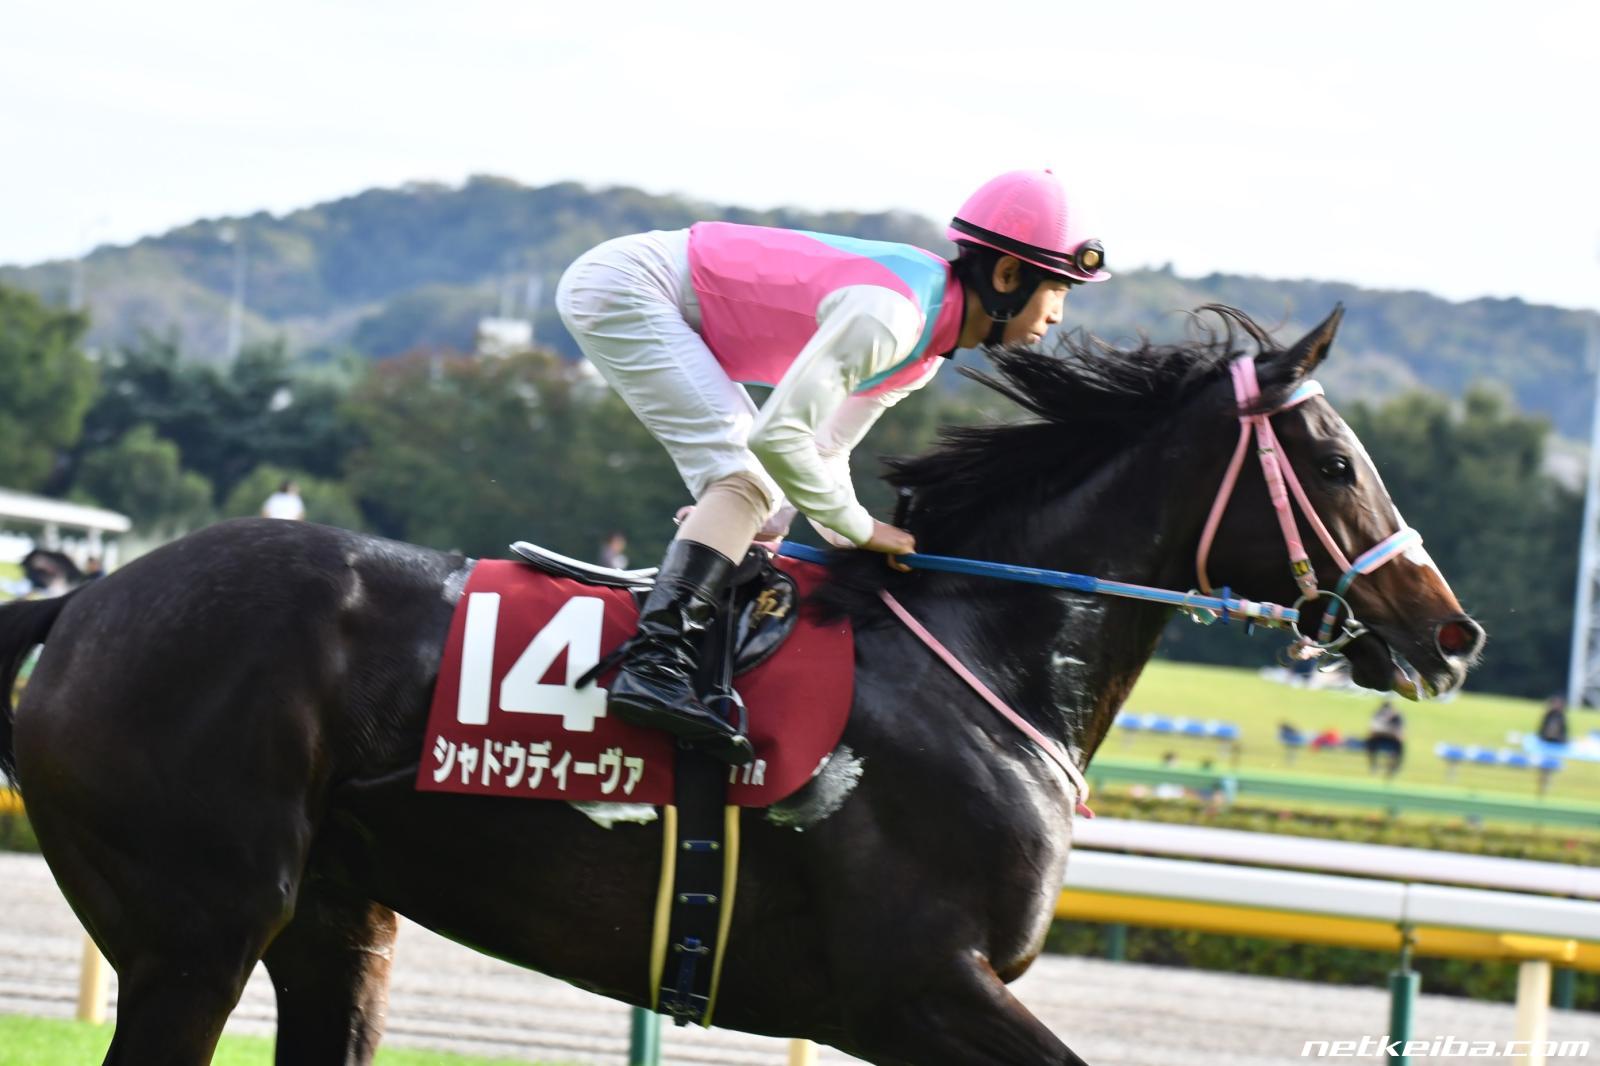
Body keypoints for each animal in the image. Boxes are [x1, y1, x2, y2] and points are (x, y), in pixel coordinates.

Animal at [0, 306, 1482, 1066]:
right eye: (1337, 462)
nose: (1450, 632)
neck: (984, 655)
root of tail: (87, 598)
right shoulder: (916, 984)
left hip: (333, 918)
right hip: (196, 929)